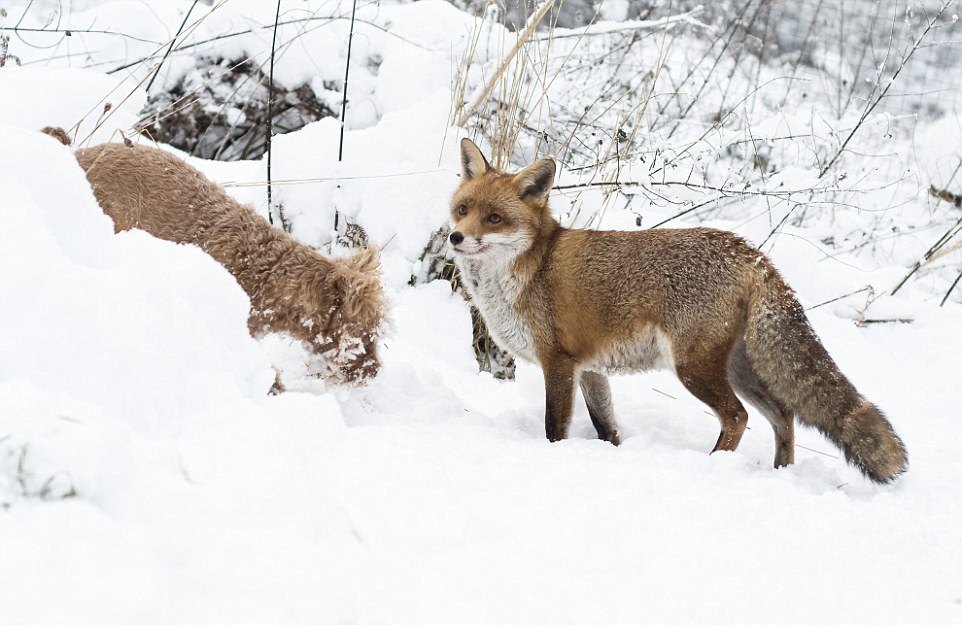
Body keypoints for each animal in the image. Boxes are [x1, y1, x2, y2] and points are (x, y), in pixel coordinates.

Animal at [450, 139, 908, 482]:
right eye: (462, 210)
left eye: (494, 218)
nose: (455, 237)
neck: (530, 267)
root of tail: (751, 252)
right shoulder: (590, 369)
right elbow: (607, 428)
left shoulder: (557, 361)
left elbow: (553, 428)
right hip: (739, 370)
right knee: (783, 415)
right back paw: (781, 474)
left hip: (693, 367)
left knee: (738, 417)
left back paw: (714, 465)